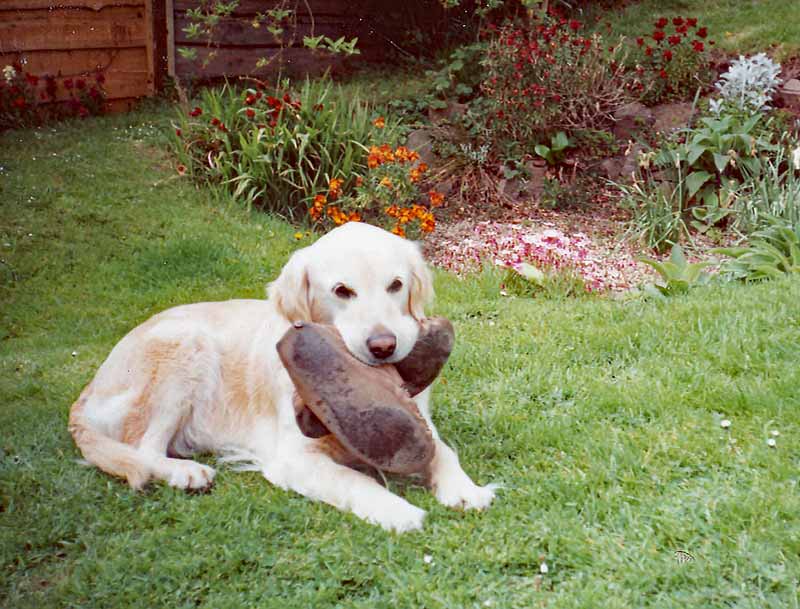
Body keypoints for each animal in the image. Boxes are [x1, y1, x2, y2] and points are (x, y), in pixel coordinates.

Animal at [70, 221, 494, 528]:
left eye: (396, 285)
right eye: (342, 291)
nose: (384, 346)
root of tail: (88, 390)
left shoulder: (422, 422)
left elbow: (443, 450)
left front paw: (465, 489)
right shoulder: (293, 457)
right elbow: (354, 480)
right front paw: (396, 510)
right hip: (185, 344)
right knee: (143, 450)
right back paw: (185, 473)